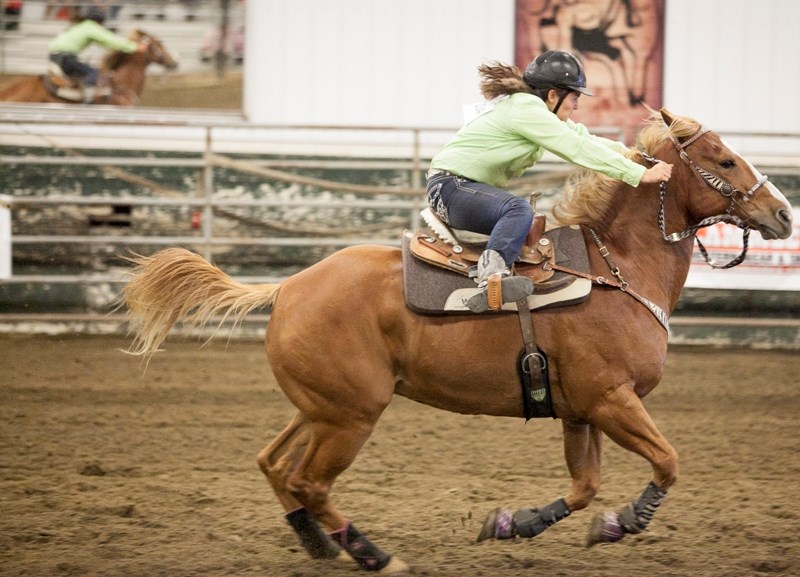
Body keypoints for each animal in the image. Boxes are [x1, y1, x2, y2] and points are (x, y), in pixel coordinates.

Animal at [120, 108, 792, 572]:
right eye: (724, 160)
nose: (784, 214)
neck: (617, 270)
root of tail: (288, 286)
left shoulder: (584, 410)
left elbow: (583, 487)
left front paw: (514, 524)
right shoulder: (612, 400)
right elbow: (667, 462)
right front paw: (625, 521)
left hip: (321, 408)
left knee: (276, 465)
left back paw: (317, 541)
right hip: (350, 417)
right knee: (308, 481)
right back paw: (374, 555)